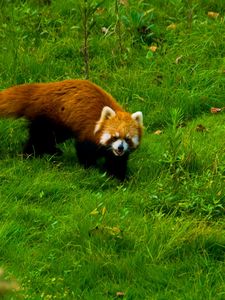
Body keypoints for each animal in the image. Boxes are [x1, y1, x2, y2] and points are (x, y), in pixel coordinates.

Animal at [0, 79, 143, 180]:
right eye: (114, 136)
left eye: (127, 139)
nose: (120, 148)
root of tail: (41, 90)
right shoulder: (87, 132)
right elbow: (84, 152)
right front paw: (90, 169)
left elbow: (117, 162)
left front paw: (118, 178)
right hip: (51, 119)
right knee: (39, 139)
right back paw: (30, 155)